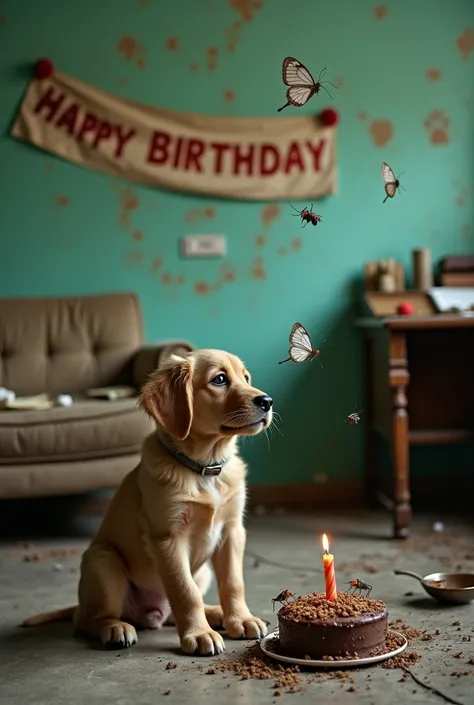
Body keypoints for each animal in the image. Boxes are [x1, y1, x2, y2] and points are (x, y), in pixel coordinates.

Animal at [23, 350, 274, 656]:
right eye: (219, 379)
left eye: (246, 378)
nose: (267, 401)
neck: (204, 467)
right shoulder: (168, 537)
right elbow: (184, 591)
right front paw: (199, 634)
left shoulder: (232, 531)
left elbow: (233, 583)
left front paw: (241, 619)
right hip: (103, 562)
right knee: (87, 618)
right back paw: (116, 628)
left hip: (201, 573)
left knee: (171, 612)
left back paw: (215, 613)